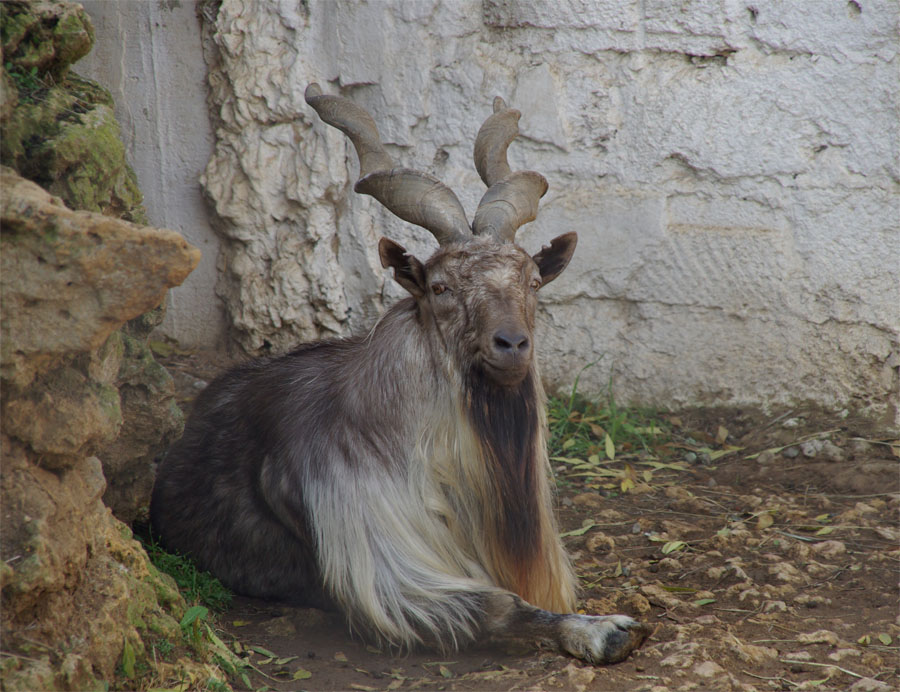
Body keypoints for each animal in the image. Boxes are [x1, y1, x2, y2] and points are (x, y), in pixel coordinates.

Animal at [151, 84, 652, 664]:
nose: (512, 345)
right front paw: (604, 629)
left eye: (531, 280)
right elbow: (500, 607)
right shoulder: (389, 576)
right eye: (440, 286)